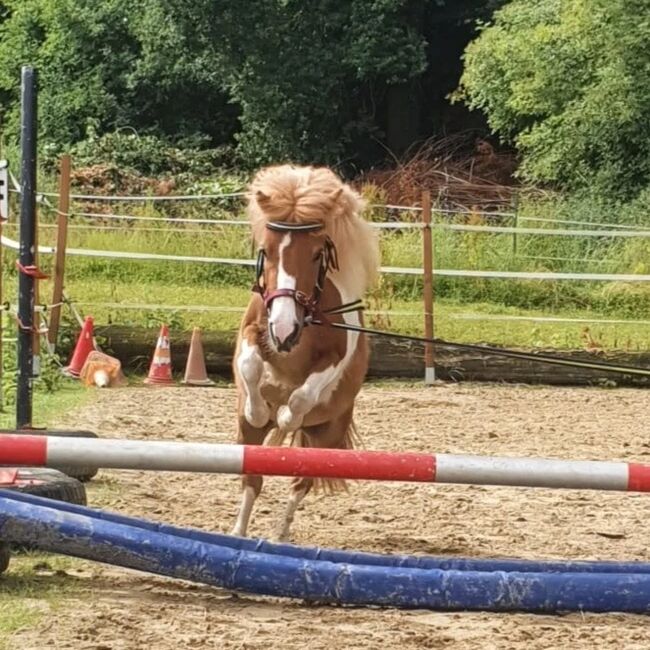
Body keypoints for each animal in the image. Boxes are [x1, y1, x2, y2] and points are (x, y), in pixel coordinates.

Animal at [230, 162, 378, 536]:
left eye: (315, 254)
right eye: (266, 250)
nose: (284, 330)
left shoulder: (334, 360)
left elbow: (301, 396)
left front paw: (284, 413)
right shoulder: (252, 331)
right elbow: (250, 364)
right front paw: (258, 408)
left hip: (325, 436)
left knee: (300, 483)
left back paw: (280, 535)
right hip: (249, 440)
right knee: (252, 479)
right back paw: (237, 534)